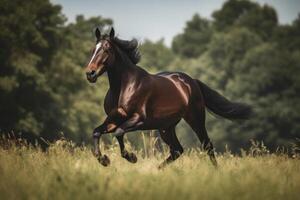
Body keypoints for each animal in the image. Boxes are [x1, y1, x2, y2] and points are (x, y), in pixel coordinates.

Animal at [84, 27, 251, 168]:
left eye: (107, 49)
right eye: (93, 49)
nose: (90, 73)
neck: (123, 86)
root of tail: (191, 81)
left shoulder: (139, 119)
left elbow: (119, 132)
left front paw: (132, 157)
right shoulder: (113, 119)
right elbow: (96, 132)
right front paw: (104, 160)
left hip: (195, 119)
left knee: (206, 145)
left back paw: (216, 171)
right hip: (166, 126)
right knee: (177, 150)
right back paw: (158, 170)